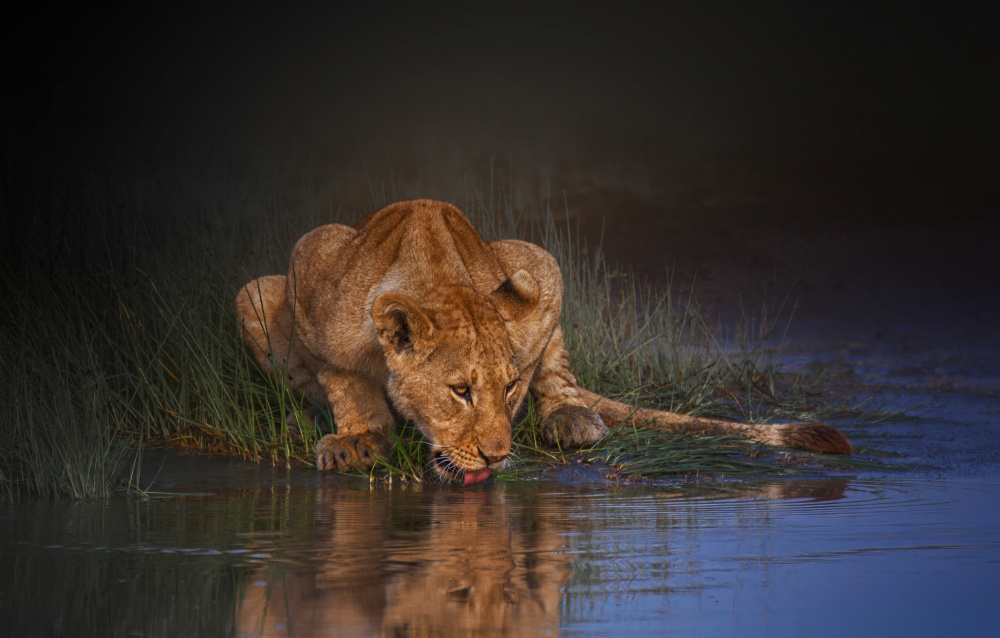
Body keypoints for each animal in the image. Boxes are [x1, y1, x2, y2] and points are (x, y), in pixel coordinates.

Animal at [236, 199, 851, 485]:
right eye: (459, 391)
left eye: (507, 388)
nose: (496, 456)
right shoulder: (311, 265)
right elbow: (343, 382)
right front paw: (357, 439)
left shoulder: (542, 272)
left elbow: (541, 362)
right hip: (252, 293)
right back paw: (298, 420)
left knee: (563, 375)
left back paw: (571, 418)